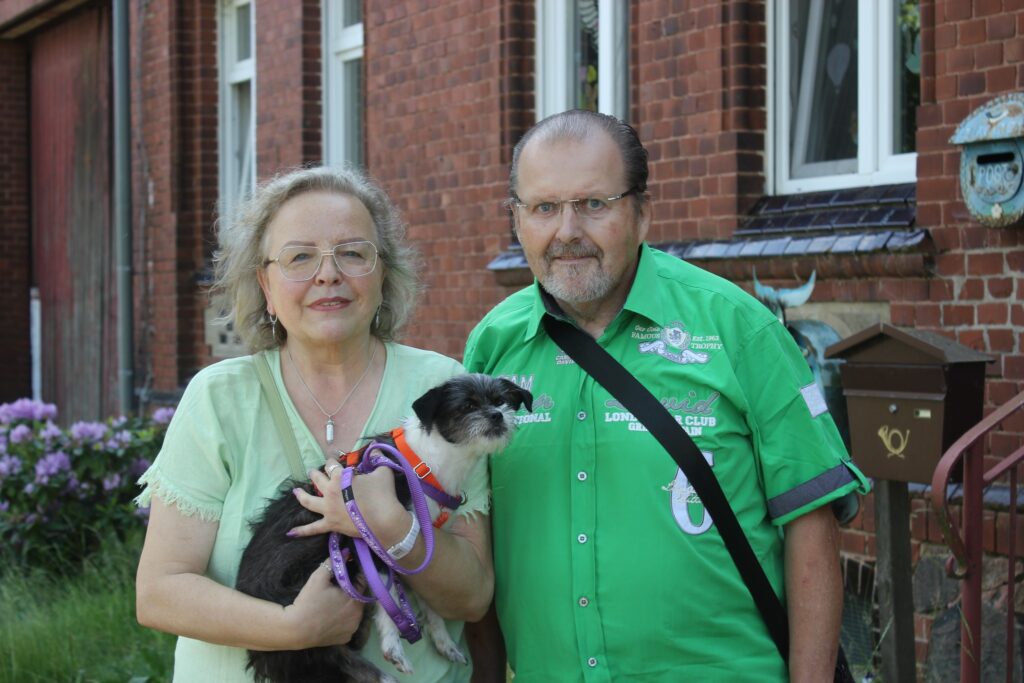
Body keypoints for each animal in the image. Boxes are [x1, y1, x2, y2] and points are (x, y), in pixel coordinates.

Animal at [236, 373, 532, 683]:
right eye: (467, 405)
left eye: (501, 400)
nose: (497, 415)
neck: (425, 465)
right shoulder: (371, 544)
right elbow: (389, 599)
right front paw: (393, 646)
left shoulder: (422, 552)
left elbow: (430, 603)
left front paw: (443, 641)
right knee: (331, 652)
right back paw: (381, 674)